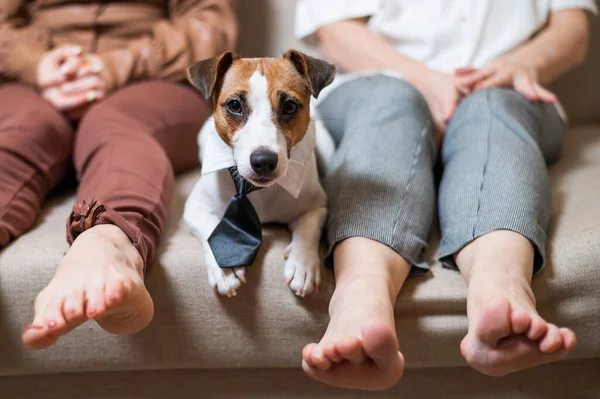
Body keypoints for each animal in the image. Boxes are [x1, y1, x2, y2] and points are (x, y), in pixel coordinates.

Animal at [183, 50, 338, 296]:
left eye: (290, 106)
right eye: (234, 105)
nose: (263, 161)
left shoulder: (317, 207)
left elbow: (308, 228)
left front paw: (303, 263)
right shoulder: (195, 207)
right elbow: (210, 228)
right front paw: (225, 266)